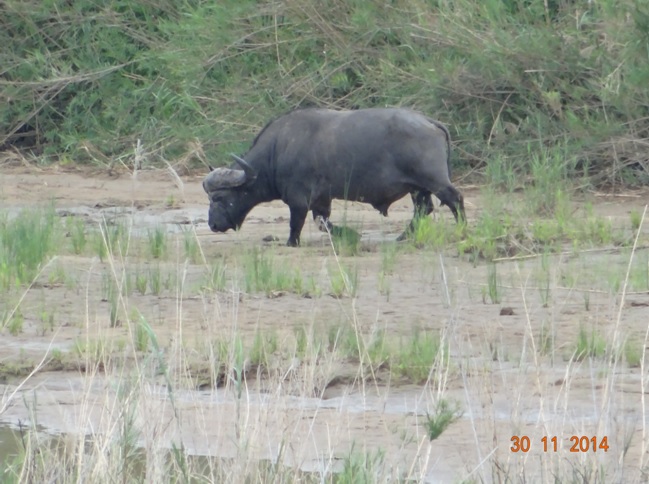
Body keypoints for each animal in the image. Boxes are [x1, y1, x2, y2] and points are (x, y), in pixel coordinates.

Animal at [201, 108, 460, 248]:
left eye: (219, 198)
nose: (213, 225)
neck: (277, 151)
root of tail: (430, 122)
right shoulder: (322, 199)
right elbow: (323, 222)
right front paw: (352, 234)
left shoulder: (298, 200)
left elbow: (297, 223)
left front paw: (291, 242)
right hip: (417, 188)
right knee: (423, 209)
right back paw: (402, 236)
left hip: (434, 181)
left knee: (454, 198)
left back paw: (462, 228)